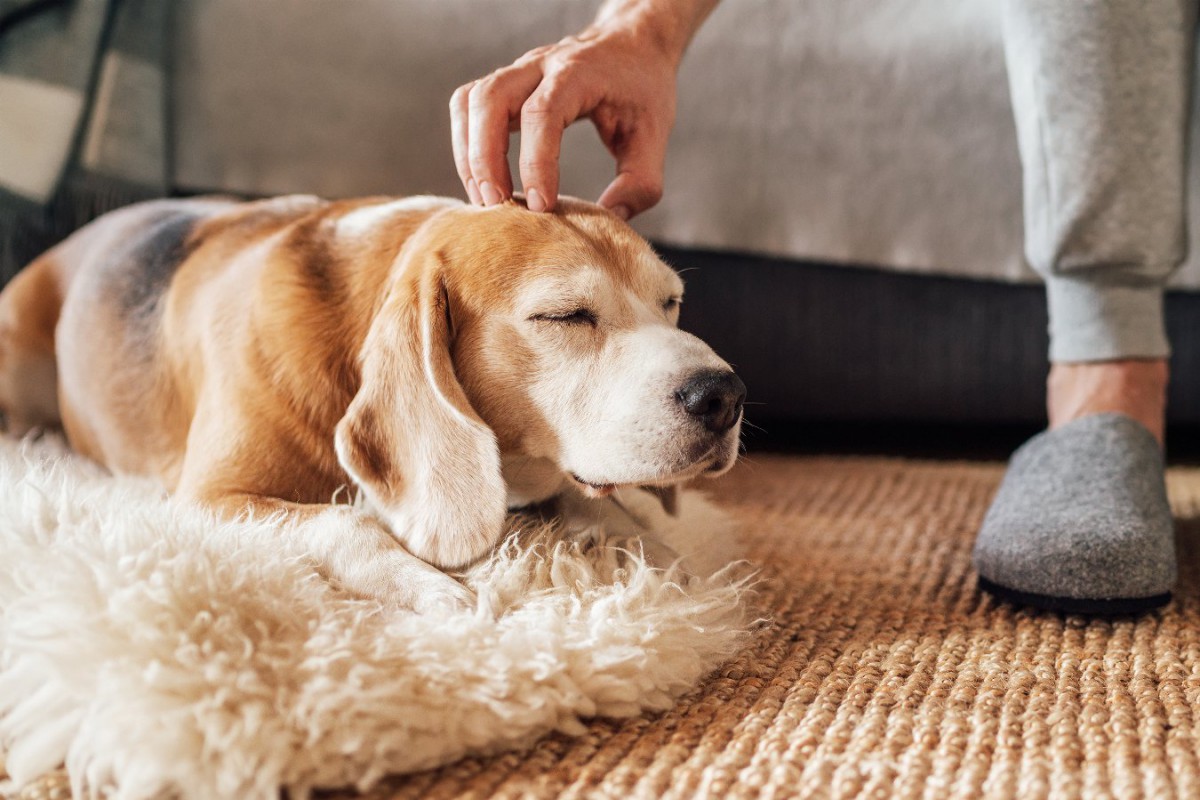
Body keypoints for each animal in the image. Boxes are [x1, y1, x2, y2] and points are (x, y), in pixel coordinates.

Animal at [0, 195, 739, 614]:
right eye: (565, 315)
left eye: (670, 303)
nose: (724, 395)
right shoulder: (208, 497)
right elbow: (344, 522)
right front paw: (430, 588)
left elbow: (600, 507)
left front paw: (660, 556)